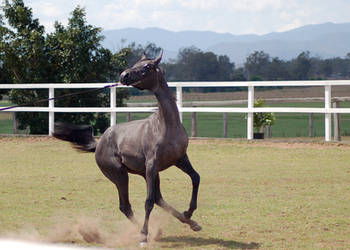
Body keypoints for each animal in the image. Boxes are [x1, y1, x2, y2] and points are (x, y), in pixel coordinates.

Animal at [53, 51, 202, 246]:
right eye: (136, 63)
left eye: (147, 66)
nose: (124, 75)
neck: (166, 125)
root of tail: (98, 144)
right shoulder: (152, 165)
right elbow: (148, 202)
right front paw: (144, 237)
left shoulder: (179, 159)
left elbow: (195, 178)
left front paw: (189, 212)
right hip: (121, 175)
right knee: (127, 205)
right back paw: (145, 232)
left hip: (145, 174)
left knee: (158, 198)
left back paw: (191, 224)